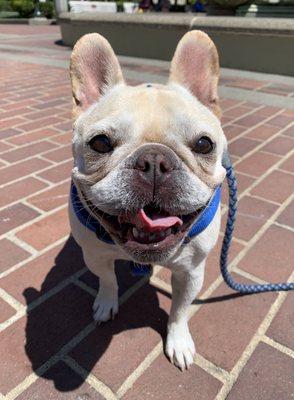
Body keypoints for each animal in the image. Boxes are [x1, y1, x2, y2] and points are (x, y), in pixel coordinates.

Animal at [69, 32, 227, 372]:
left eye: (203, 144)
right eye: (100, 143)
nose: (154, 161)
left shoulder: (191, 272)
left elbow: (180, 310)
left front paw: (178, 341)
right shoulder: (95, 255)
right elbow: (107, 279)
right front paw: (106, 303)